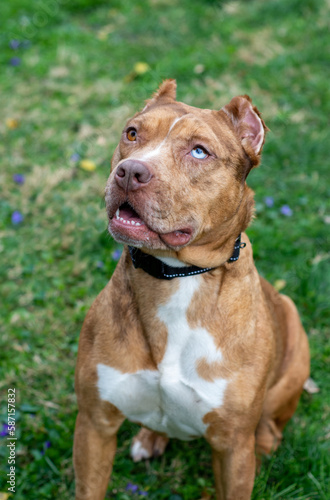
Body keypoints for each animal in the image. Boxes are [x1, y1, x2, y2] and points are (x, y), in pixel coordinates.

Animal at [73, 81, 310, 500]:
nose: (130, 172)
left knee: (270, 421)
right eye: (132, 134)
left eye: (199, 151)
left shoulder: (232, 450)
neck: (176, 276)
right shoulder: (94, 425)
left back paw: (266, 443)